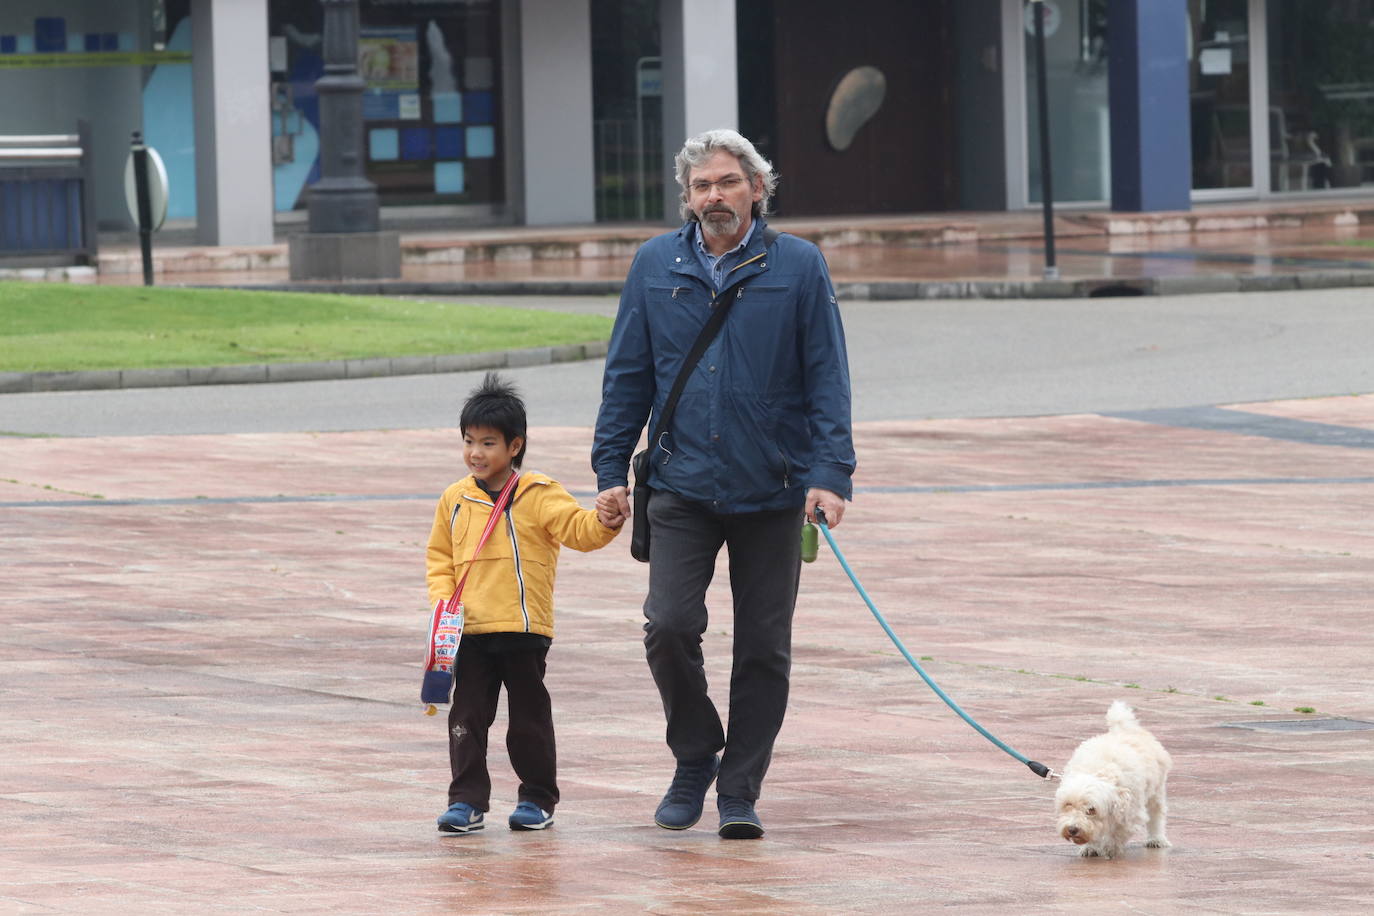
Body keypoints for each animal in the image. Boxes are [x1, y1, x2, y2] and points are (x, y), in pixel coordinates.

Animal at [1049, 703, 1170, 862]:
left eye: (1091, 810)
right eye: (1068, 805)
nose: (1072, 829)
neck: (1100, 771)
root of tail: (1124, 730)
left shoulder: (1130, 813)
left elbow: (1118, 833)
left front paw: (1110, 848)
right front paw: (1091, 847)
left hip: (1156, 791)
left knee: (1156, 816)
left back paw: (1156, 839)